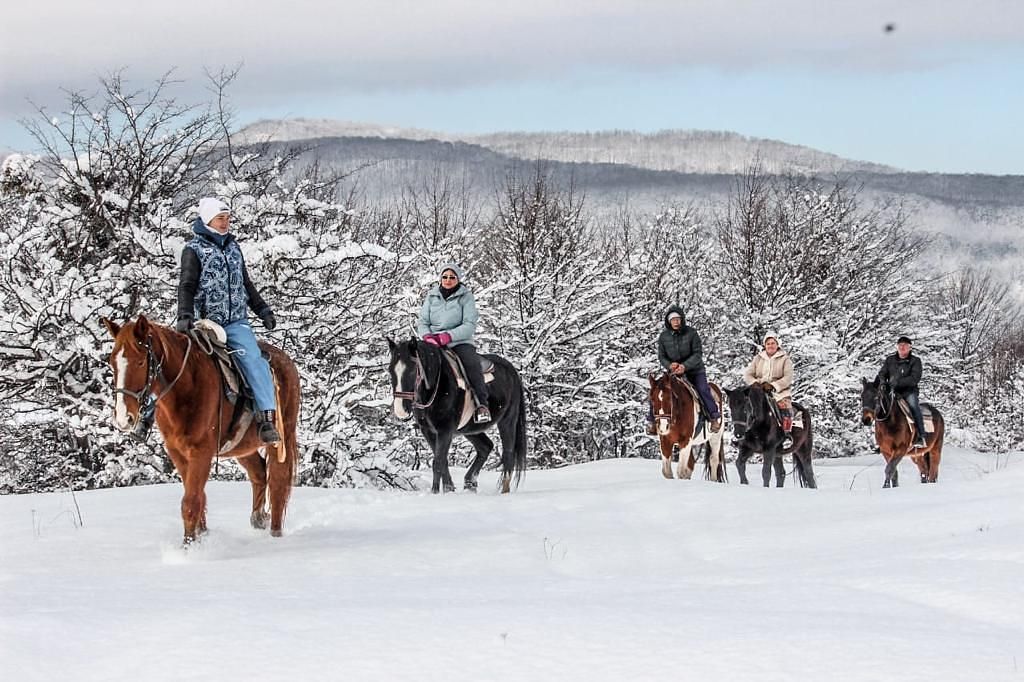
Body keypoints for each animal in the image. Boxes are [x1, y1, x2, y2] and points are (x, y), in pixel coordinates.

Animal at [100, 315, 299, 544]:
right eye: (113, 363)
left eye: (140, 361)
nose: (123, 417)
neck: (186, 387)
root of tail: (287, 362)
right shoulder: (178, 453)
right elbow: (198, 497)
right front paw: (200, 536)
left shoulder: (201, 452)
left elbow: (191, 502)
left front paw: (188, 547)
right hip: (241, 446)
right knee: (258, 473)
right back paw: (258, 518)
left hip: (281, 439)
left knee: (278, 483)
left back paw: (275, 534)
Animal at [385, 335, 528, 491]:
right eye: (390, 370)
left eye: (412, 370)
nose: (400, 409)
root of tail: (511, 369)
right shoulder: (428, 431)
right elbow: (442, 461)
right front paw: (449, 489)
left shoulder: (445, 431)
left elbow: (438, 462)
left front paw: (435, 492)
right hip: (469, 429)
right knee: (485, 447)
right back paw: (470, 481)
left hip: (507, 422)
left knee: (508, 455)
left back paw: (504, 490)